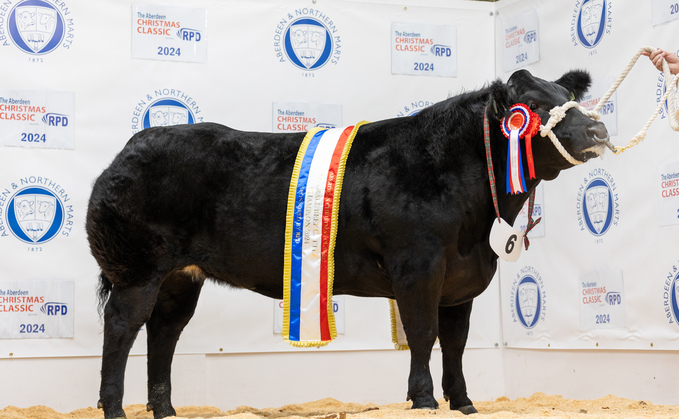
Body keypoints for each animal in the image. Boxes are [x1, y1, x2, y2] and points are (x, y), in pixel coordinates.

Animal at [86, 69, 612, 419]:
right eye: (535, 108)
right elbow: (424, 334)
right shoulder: (417, 266)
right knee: (122, 327)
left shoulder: (461, 280)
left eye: (568, 97)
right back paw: (113, 408)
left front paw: (463, 404)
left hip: (180, 277)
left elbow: (456, 342)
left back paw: (166, 411)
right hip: (136, 268)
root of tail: (131, 147)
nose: (599, 129)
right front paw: (423, 400)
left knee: (163, 333)